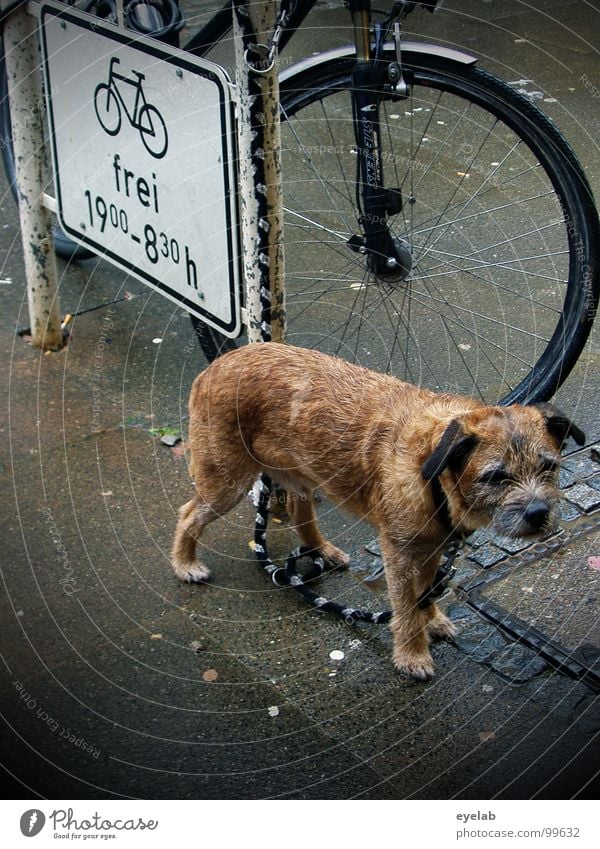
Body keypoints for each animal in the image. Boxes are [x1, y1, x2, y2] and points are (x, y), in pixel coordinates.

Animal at [171, 342, 584, 680]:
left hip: (299, 473)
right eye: (496, 477)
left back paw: (322, 550)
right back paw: (185, 564)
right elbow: (406, 607)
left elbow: (426, 591)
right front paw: (412, 654)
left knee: (302, 511)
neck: (431, 467)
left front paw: (433, 619)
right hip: (226, 482)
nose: (538, 512)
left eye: (549, 466)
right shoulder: (398, 553)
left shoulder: (432, 547)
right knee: (189, 514)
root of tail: (219, 364)